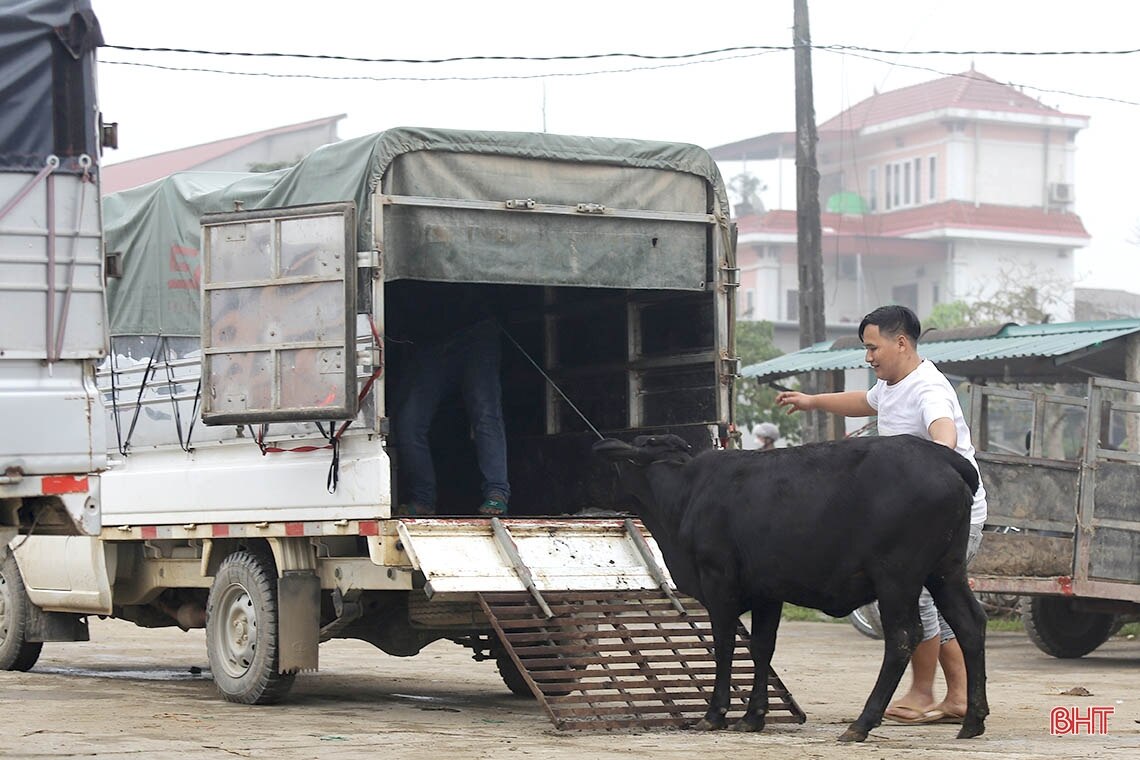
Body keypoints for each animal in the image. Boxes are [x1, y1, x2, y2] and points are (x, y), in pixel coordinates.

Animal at [597, 432, 989, 742]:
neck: (688, 491)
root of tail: (940, 455)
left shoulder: (718, 582)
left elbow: (725, 646)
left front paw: (715, 714)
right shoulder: (767, 591)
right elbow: (761, 648)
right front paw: (753, 716)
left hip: (897, 577)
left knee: (904, 636)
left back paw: (862, 723)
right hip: (946, 571)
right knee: (970, 624)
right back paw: (972, 720)